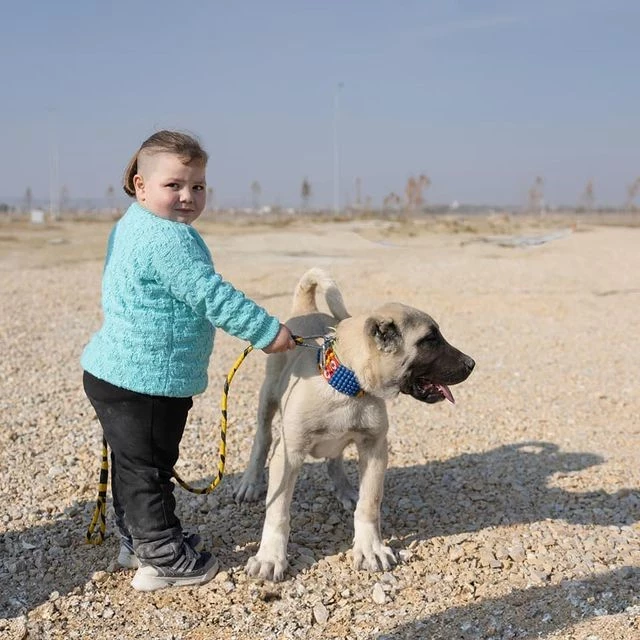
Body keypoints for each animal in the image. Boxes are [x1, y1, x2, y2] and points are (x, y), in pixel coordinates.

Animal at [235, 268, 476, 584]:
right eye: (430, 340)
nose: (472, 363)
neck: (346, 384)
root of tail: (306, 309)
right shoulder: (288, 456)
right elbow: (278, 513)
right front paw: (270, 557)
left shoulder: (374, 449)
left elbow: (369, 504)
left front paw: (370, 548)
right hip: (269, 397)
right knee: (262, 440)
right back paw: (250, 483)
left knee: (334, 459)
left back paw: (345, 489)